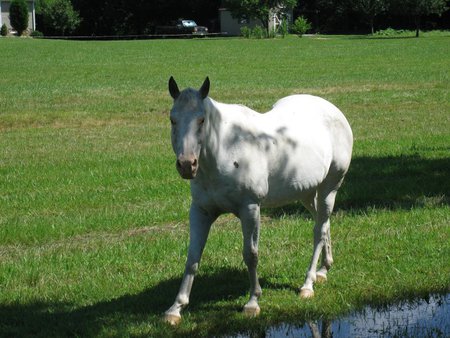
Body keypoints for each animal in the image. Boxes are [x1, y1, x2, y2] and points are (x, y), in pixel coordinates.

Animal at [163, 77, 354, 324]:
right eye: (172, 119)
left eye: (201, 119)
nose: (187, 165)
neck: (225, 150)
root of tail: (335, 111)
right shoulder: (201, 211)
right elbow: (192, 258)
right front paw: (176, 308)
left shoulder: (250, 208)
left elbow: (251, 255)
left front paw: (253, 302)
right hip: (307, 192)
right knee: (323, 224)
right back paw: (324, 269)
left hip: (329, 188)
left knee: (319, 230)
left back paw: (308, 284)